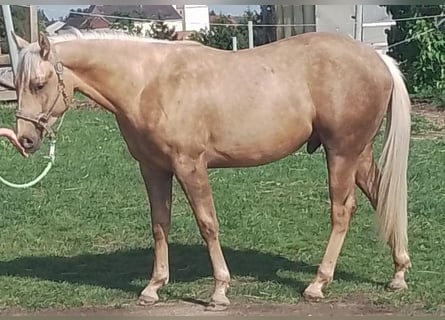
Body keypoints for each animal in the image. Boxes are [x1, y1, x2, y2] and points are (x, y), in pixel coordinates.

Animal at [10, 30, 410, 310]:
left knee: (342, 211)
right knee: (382, 198)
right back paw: (398, 274)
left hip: (341, 153)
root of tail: (377, 58)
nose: (25, 139)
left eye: (39, 84)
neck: (148, 83)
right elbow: (160, 225)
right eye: (15, 84)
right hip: (358, 154)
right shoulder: (153, 169)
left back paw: (318, 283)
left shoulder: (190, 166)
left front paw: (219, 290)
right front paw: (153, 288)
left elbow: (208, 224)